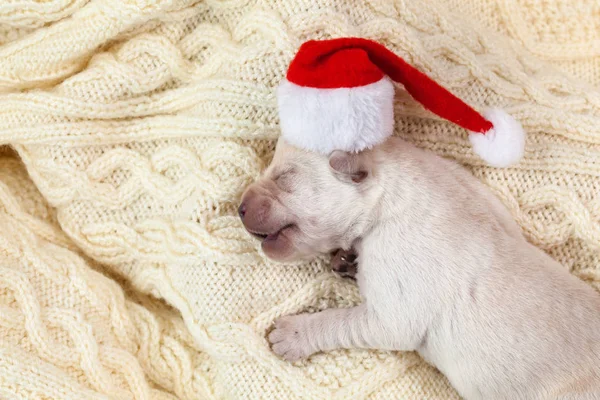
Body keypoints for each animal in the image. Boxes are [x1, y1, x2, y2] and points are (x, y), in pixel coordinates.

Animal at [237, 136, 600, 398]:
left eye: (285, 177)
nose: (239, 207)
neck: (388, 195)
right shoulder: (480, 194)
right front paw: (347, 259)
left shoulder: (394, 311)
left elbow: (340, 321)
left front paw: (293, 335)